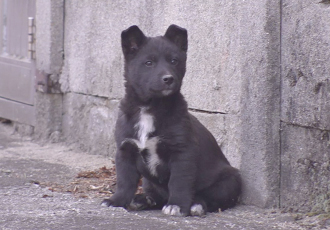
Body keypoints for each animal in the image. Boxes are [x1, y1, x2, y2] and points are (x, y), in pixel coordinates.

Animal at [102, 24, 241, 217]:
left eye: (174, 61)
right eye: (149, 63)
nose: (168, 79)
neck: (150, 107)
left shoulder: (182, 152)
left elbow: (179, 181)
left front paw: (177, 205)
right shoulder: (125, 150)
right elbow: (124, 181)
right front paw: (116, 201)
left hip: (229, 181)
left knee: (213, 198)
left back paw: (196, 205)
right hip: (148, 182)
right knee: (156, 195)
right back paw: (143, 199)